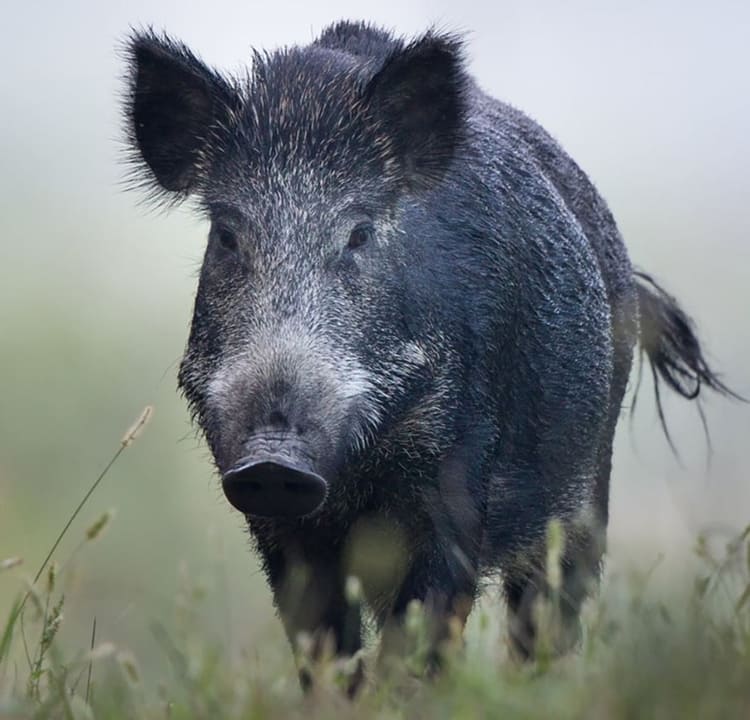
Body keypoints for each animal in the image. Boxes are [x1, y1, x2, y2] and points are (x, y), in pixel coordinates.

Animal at [125, 19, 740, 676]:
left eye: (360, 233)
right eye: (226, 234)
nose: (274, 459)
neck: (356, 470)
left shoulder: (459, 473)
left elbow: (424, 628)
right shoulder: (276, 524)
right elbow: (323, 646)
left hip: (586, 490)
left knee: (548, 616)